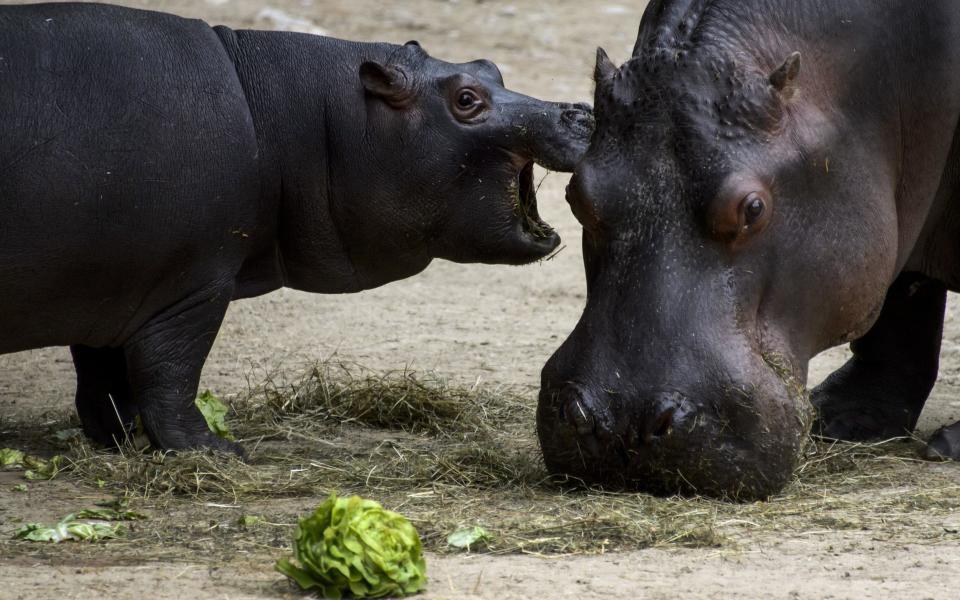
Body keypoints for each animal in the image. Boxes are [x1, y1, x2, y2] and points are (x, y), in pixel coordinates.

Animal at [0, 3, 592, 454]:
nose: (580, 111)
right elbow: (169, 373)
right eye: (467, 97)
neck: (294, 120)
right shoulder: (188, 287)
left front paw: (118, 440)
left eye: (490, 65)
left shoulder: (108, 284)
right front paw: (215, 451)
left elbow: (101, 377)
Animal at [536, 0, 960, 496]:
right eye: (575, 194)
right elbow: (902, 306)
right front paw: (842, 421)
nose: (621, 422)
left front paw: (946, 446)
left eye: (753, 208)